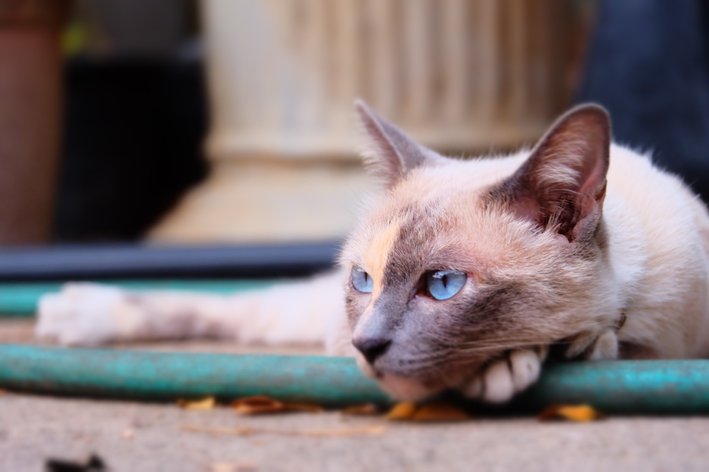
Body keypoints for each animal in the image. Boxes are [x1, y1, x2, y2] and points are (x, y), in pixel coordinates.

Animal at [34, 99, 709, 402]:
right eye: (364, 280)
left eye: (443, 286)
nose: (367, 347)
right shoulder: (336, 326)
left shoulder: (672, 340)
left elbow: (612, 338)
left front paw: (557, 346)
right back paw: (73, 314)